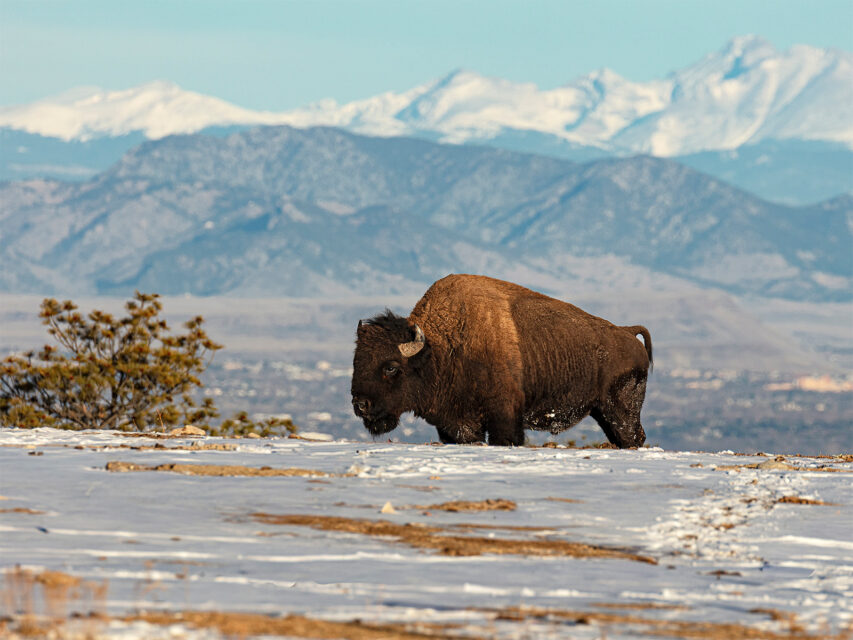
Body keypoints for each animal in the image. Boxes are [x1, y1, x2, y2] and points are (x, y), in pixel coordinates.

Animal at [351, 274, 652, 447]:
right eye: (356, 362)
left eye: (391, 367)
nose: (360, 404)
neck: (440, 348)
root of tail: (628, 332)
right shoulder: (456, 425)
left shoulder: (504, 419)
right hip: (602, 412)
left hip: (620, 410)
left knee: (631, 437)